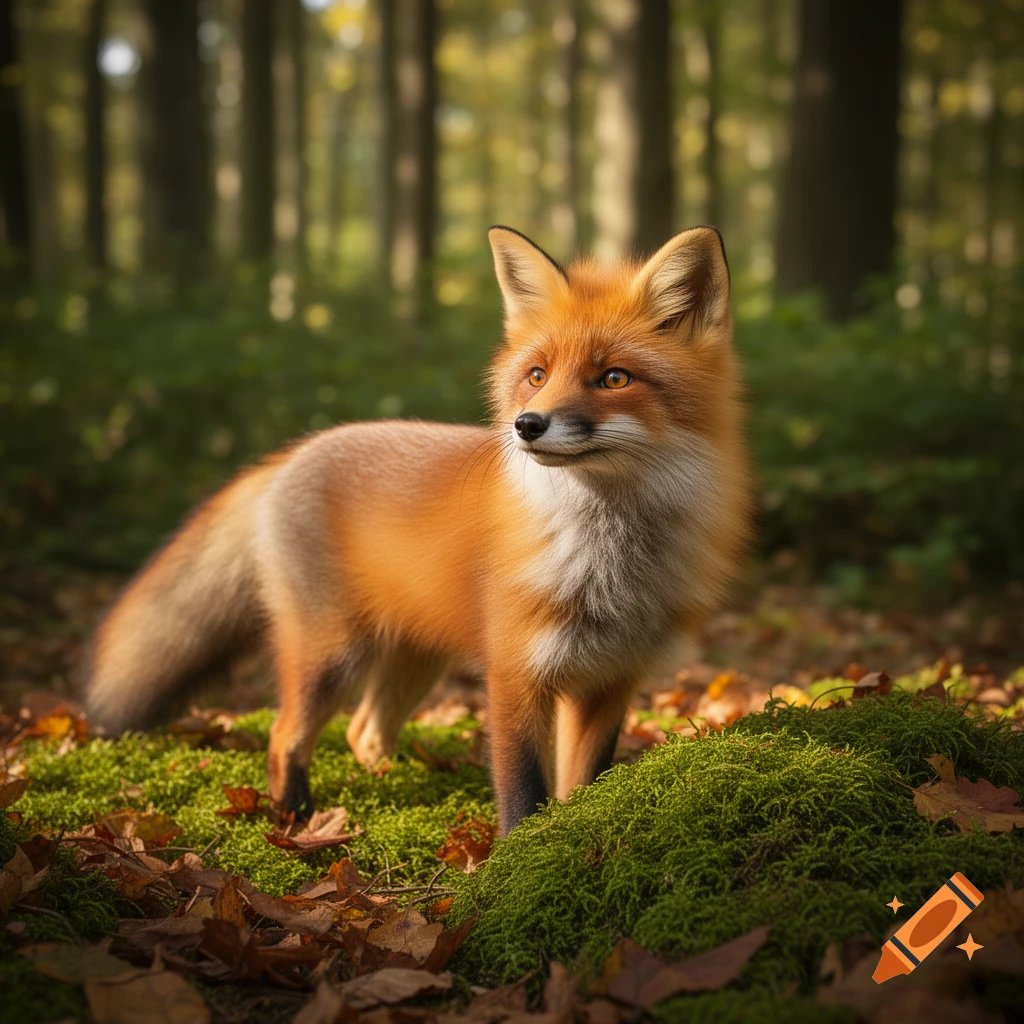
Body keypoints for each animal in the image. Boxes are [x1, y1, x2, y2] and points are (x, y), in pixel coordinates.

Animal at [84, 225, 751, 836]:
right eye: (537, 375)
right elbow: (523, 791)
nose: (526, 425)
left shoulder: (610, 680)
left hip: (414, 657)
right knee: (283, 733)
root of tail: (298, 450)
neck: (611, 562)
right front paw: (512, 862)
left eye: (614, 378)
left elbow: (581, 784)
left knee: (364, 732)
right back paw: (296, 816)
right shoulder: (515, 672)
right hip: (331, 654)